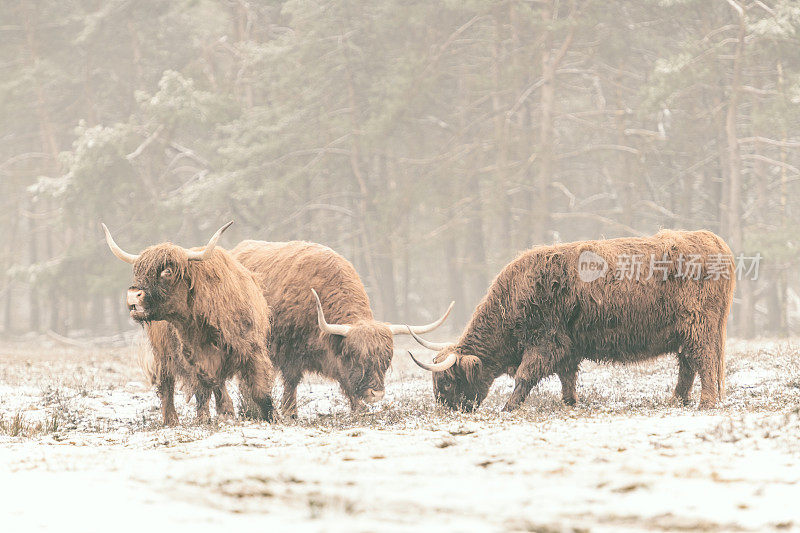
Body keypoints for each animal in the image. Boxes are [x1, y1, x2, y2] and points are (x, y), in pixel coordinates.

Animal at [101, 221, 276, 424]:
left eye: (167, 271)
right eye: (138, 271)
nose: (133, 295)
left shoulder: (253, 350)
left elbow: (260, 391)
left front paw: (273, 417)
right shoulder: (194, 359)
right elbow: (202, 392)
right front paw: (203, 419)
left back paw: (226, 411)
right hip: (163, 356)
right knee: (167, 387)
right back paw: (171, 420)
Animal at [231, 240, 454, 416]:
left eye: (386, 360)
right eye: (357, 357)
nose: (376, 394)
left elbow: (347, 381)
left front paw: (359, 410)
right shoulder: (289, 353)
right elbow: (291, 382)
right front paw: (290, 412)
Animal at [410, 230, 736, 412]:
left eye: (447, 382)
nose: (447, 410)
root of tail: (712, 240)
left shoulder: (545, 341)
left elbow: (525, 376)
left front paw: (507, 408)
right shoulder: (567, 346)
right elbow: (566, 377)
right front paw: (570, 404)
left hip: (698, 325)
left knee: (703, 360)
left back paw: (705, 403)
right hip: (684, 330)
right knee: (687, 364)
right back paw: (677, 401)